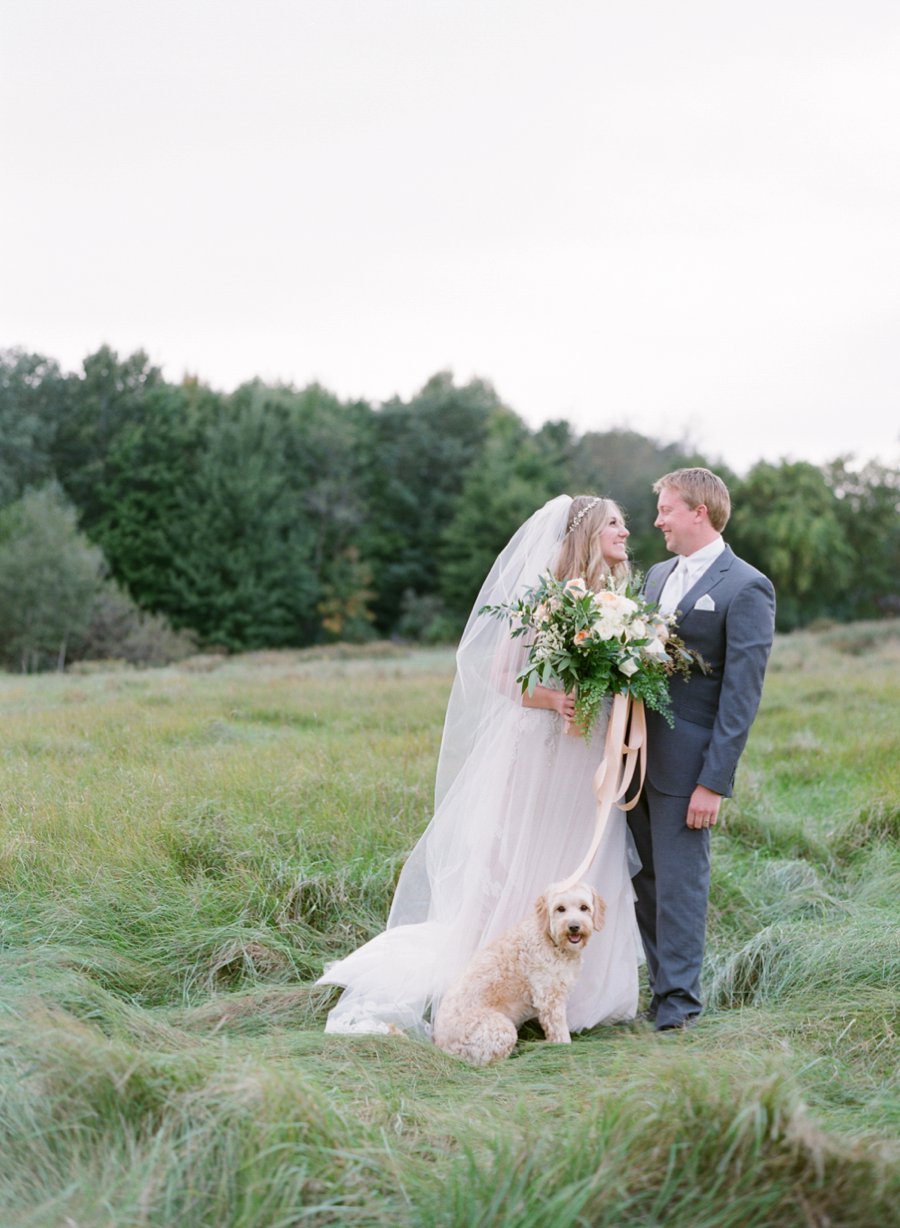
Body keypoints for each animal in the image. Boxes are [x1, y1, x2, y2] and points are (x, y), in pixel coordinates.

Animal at [429, 884, 604, 1065]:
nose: (574, 926)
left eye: (584, 907)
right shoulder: (549, 998)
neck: (551, 940)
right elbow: (560, 1031)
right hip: (501, 1027)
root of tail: (441, 1044)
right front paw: (564, 1051)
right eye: (560, 908)